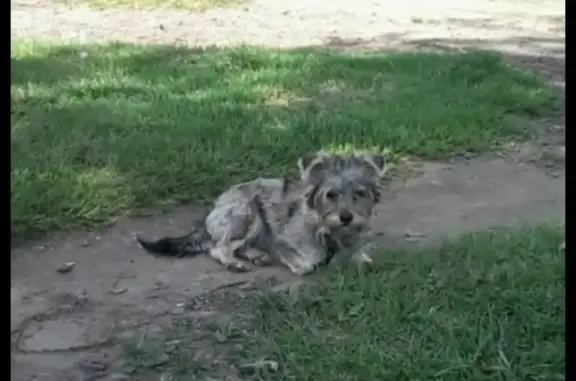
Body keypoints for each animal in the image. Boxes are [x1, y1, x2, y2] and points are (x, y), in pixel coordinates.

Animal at [136, 150, 388, 274]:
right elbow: (304, 263)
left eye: (359, 193)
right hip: (247, 212)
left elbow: (363, 257)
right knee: (220, 247)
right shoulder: (284, 240)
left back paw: (257, 255)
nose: (346, 217)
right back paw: (235, 262)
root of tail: (213, 210)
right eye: (331, 194)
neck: (327, 229)